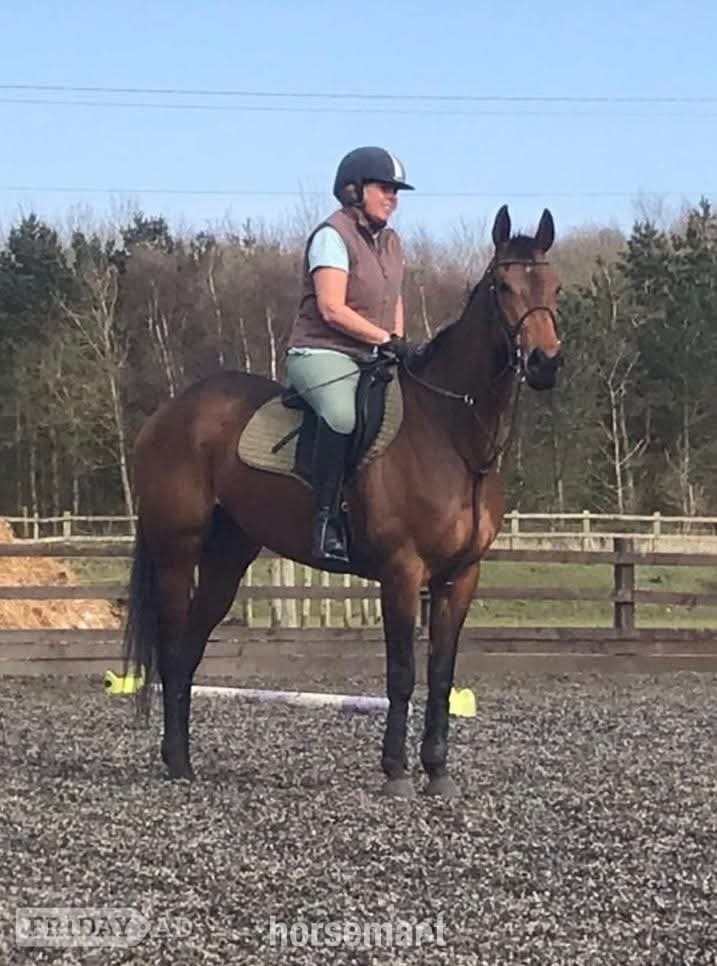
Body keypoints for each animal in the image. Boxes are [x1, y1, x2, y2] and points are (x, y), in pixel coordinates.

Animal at [121, 204, 563, 798]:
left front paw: (438, 771)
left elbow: (441, 673)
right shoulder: (402, 571)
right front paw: (396, 772)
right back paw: (175, 763)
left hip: (227, 556)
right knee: (171, 649)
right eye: (503, 286)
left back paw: (184, 761)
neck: (451, 435)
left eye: (553, 286)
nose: (544, 363)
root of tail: (167, 414)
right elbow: (402, 672)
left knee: (190, 648)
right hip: (176, 552)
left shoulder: (460, 577)